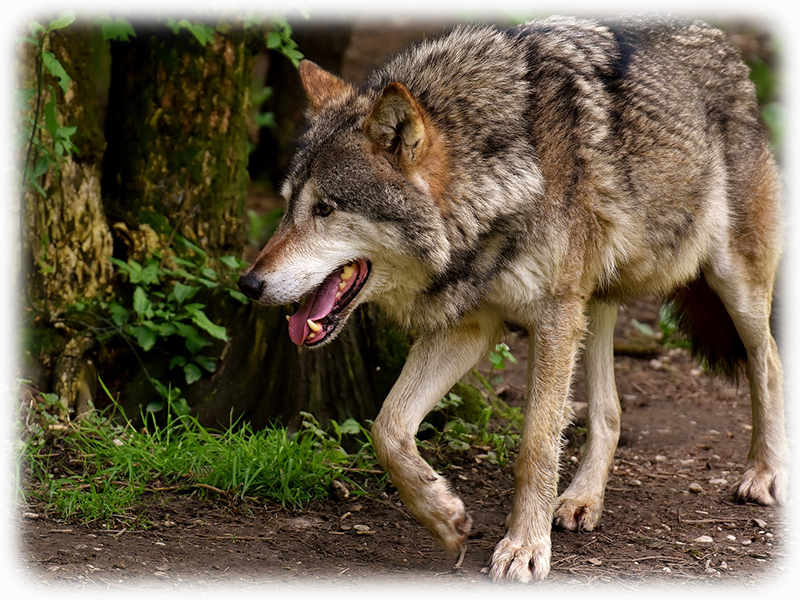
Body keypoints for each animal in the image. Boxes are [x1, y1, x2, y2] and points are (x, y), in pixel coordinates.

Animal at [238, 15, 788, 582]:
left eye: (325, 209)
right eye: (287, 207)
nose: (249, 284)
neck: (499, 179)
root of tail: (721, 40)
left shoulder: (551, 318)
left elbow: (536, 444)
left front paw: (525, 547)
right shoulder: (471, 326)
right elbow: (386, 428)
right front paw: (444, 518)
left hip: (730, 282)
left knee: (767, 360)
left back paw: (764, 473)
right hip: (593, 302)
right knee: (609, 411)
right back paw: (581, 500)